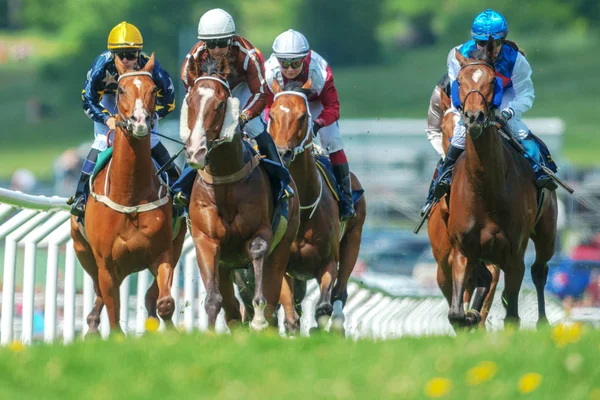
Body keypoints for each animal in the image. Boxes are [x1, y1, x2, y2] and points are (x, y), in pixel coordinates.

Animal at [69, 53, 185, 334]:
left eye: (153, 89)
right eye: (121, 89)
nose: (140, 121)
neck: (130, 195)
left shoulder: (163, 253)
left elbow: (163, 301)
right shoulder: (106, 265)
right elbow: (113, 313)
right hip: (83, 252)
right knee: (99, 294)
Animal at [179, 57, 298, 330]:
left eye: (220, 104)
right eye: (190, 102)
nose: (196, 152)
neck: (224, 180)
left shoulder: (261, 231)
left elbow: (257, 250)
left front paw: (258, 319)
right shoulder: (206, 240)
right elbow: (215, 298)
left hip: (283, 246)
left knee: (273, 293)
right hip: (226, 266)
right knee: (232, 308)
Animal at [266, 79, 366, 334]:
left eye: (303, 116)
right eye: (271, 114)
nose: (282, 152)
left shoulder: (328, 260)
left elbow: (323, 307)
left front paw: (319, 328)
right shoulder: (281, 263)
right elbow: (290, 315)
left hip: (353, 241)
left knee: (340, 292)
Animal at [428, 38, 556, 328]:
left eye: (492, 80)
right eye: (460, 81)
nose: (474, 117)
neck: (486, 189)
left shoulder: (514, 253)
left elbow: (512, 315)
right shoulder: (463, 250)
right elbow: (456, 313)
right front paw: (469, 316)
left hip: (547, 234)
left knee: (539, 271)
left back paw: (543, 321)